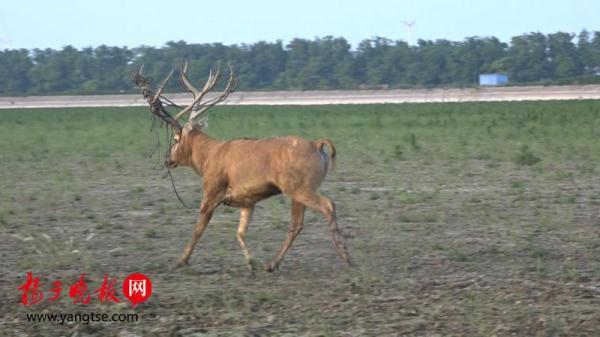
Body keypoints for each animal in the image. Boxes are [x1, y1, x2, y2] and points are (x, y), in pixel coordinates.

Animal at [134, 60, 350, 270]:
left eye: (176, 139)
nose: (168, 160)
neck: (206, 159)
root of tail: (317, 145)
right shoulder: (247, 201)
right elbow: (240, 232)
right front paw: (250, 261)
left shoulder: (212, 190)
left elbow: (198, 228)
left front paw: (181, 260)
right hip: (298, 189)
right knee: (297, 224)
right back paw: (272, 263)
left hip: (299, 186)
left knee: (328, 205)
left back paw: (344, 253)